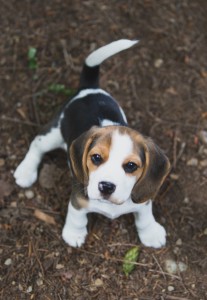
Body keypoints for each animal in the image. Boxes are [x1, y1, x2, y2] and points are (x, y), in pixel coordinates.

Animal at [14, 39, 170, 248]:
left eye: (131, 166)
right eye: (96, 157)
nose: (106, 186)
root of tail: (89, 89)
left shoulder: (142, 198)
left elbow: (144, 215)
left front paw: (151, 233)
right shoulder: (78, 200)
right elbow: (76, 217)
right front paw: (74, 234)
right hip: (54, 134)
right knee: (36, 144)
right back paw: (25, 171)